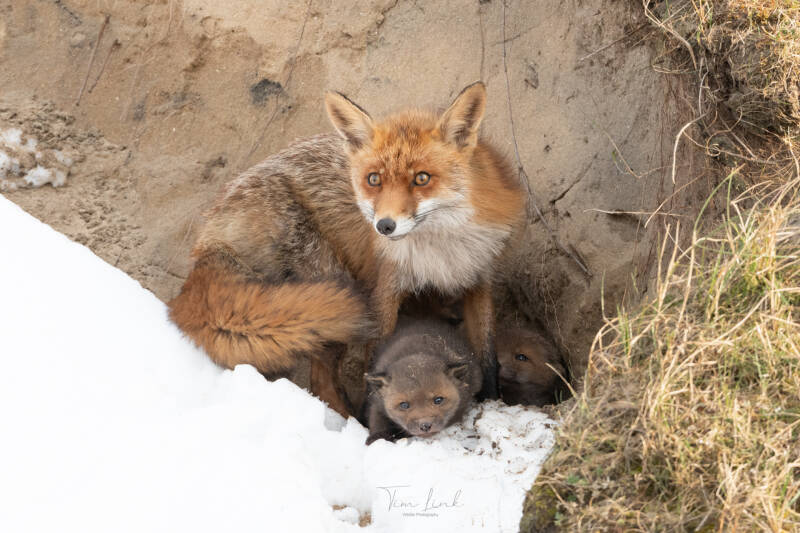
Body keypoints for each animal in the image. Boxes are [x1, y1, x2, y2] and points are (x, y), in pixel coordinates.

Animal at [168, 82, 525, 415]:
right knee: (321, 379)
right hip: (333, 294)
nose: (384, 226)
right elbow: (377, 362)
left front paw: (493, 401)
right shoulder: (385, 291)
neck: (441, 250)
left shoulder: (478, 279)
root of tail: (208, 239)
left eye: (422, 178)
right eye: (373, 179)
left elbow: (487, 354)